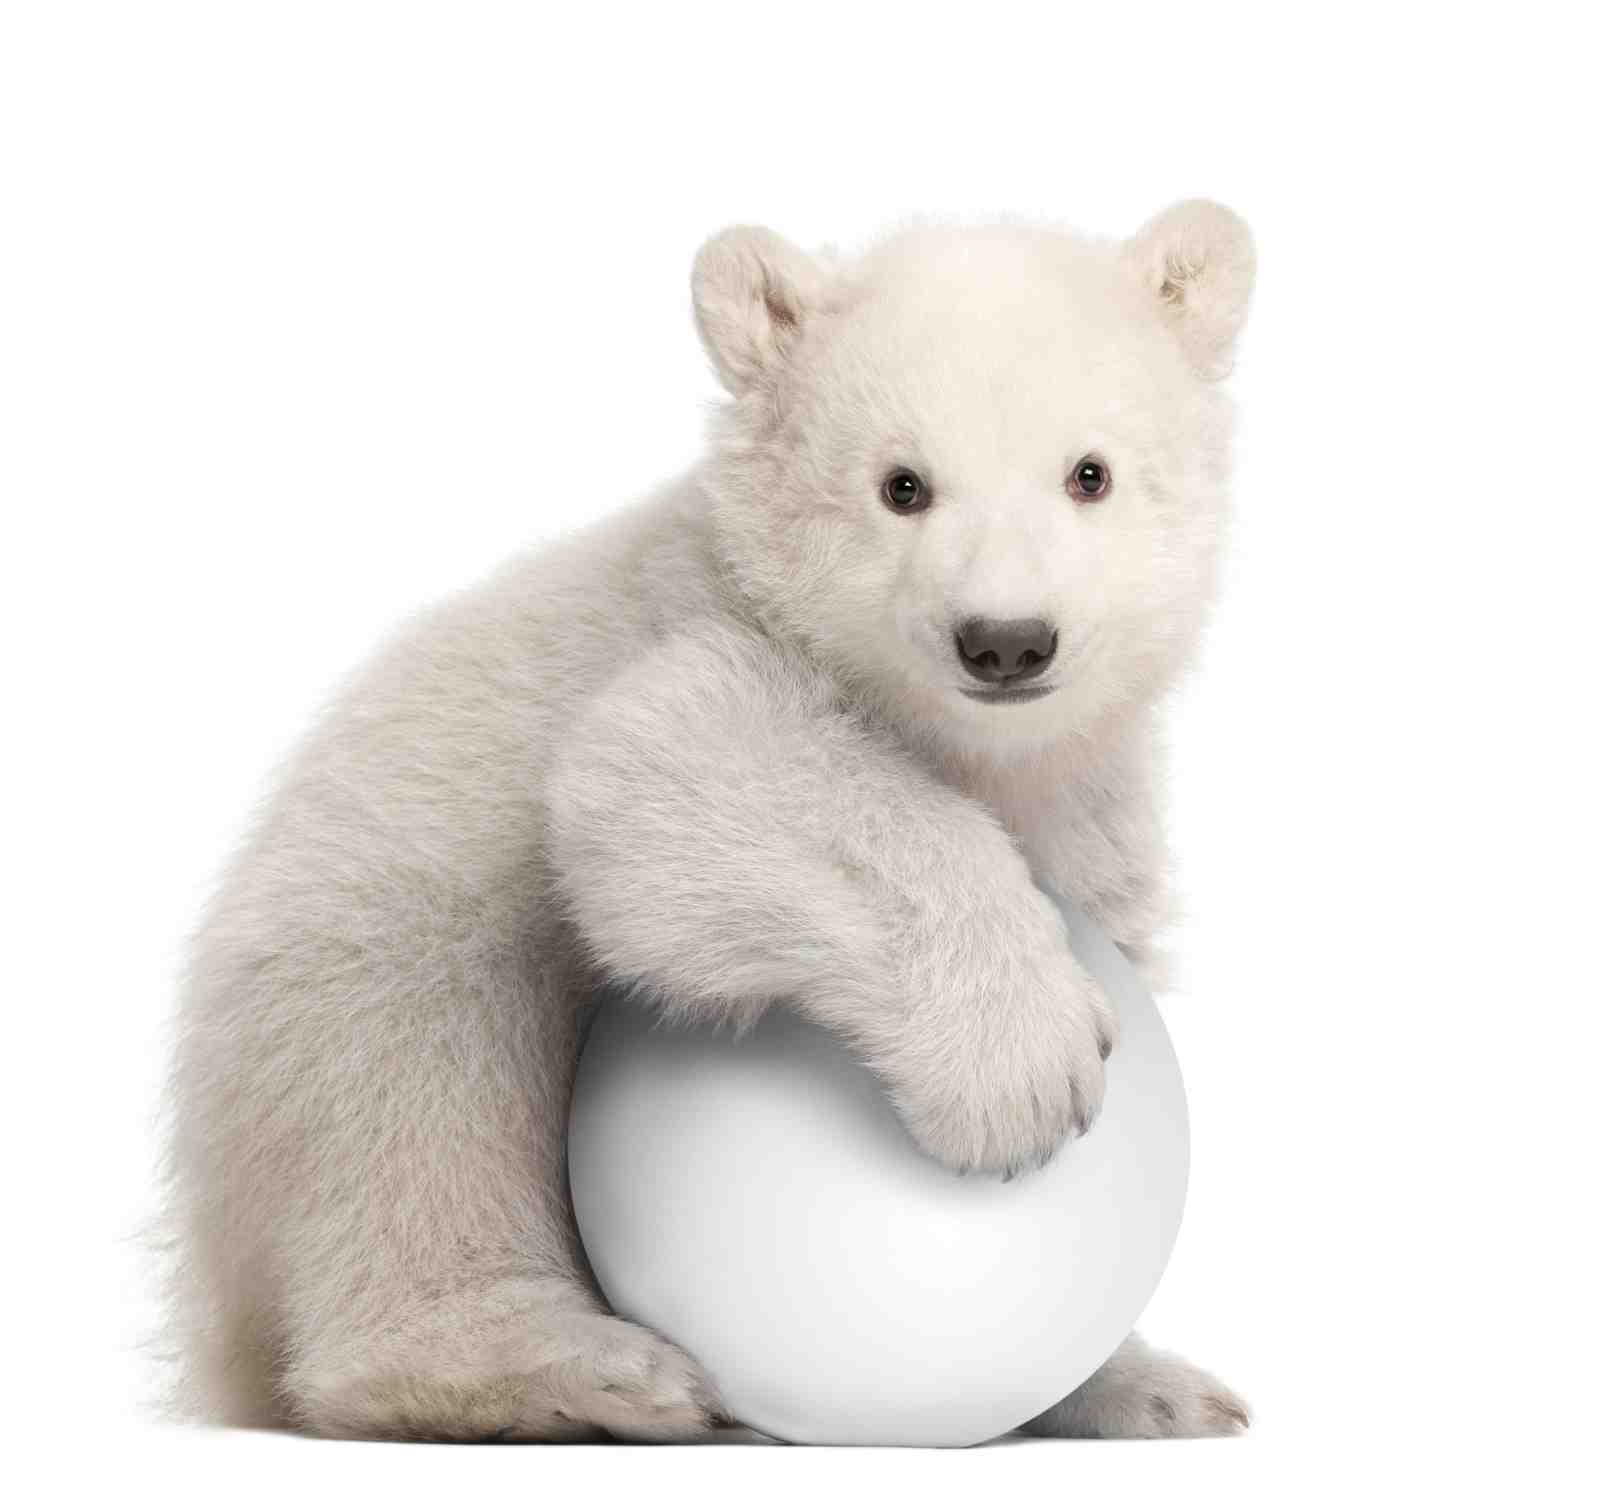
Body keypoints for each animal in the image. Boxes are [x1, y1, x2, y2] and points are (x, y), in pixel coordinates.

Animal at [163, 201, 1256, 1443]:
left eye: (1090, 473)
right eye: (901, 485)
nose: (1006, 640)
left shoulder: (1088, 810)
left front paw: (1139, 1382)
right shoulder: (674, 633)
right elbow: (669, 769)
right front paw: (1018, 1070)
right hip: (349, 947)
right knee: (407, 1088)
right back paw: (571, 1371)